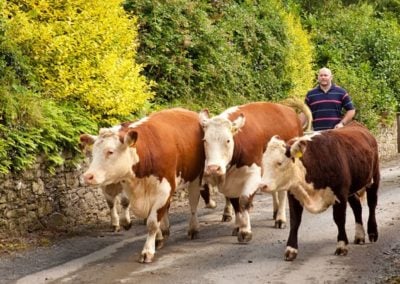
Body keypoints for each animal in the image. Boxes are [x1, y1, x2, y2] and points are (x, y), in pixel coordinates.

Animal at [80, 107, 208, 262]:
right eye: (93, 152)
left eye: (110, 151)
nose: (87, 176)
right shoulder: (133, 190)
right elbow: (140, 211)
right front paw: (158, 238)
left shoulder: (164, 189)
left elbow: (152, 222)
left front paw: (148, 251)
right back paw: (166, 229)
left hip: (196, 176)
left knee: (193, 203)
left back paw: (193, 229)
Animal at [198, 100, 310, 242]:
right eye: (205, 140)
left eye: (228, 140)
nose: (213, 168)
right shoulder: (230, 183)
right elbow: (236, 204)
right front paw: (238, 226)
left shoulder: (254, 175)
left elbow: (244, 201)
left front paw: (245, 231)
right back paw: (275, 212)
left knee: (282, 193)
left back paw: (280, 219)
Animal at [260, 121, 380, 260]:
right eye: (263, 162)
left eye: (279, 163)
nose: (262, 185)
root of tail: (356, 124)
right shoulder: (294, 194)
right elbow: (295, 221)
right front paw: (291, 249)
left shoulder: (340, 194)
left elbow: (339, 219)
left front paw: (341, 246)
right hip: (351, 188)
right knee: (357, 207)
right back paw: (359, 236)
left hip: (373, 178)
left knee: (372, 204)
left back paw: (372, 232)